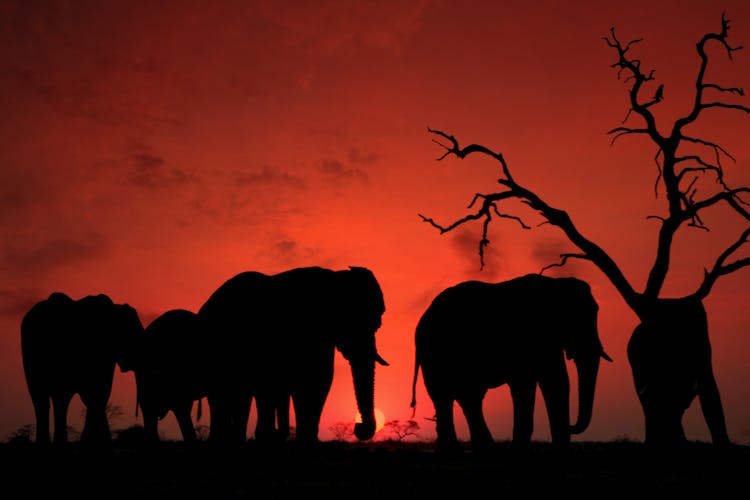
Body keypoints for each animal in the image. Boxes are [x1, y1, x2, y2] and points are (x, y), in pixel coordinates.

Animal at [412, 274, 612, 454]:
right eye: (576, 318)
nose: (572, 425)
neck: (555, 283)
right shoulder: (532, 335)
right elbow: (541, 382)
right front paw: (523, 450)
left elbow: (552, 382)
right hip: (438, 354)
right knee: (451, 396)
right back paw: (462, 451)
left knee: (465, 397)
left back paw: (478, 450)